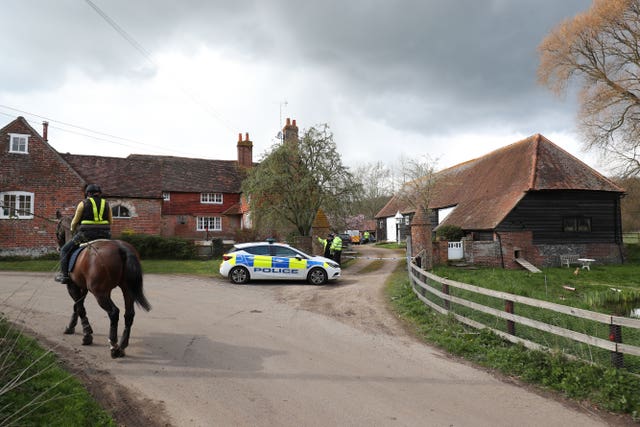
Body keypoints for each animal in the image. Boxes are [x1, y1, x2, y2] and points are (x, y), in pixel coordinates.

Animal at [56, 216, 151, 360]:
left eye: (57, 229)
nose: (58, 247)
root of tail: (121, 248)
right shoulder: (83, 288)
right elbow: (77, 306)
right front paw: (71, 326)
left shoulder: (72, 286)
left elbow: (80, 307)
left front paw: (87, 335)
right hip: (127, 290)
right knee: (129, 314)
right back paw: (122, 346)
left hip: (100, 293)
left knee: (114, 312)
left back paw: (113, 346)